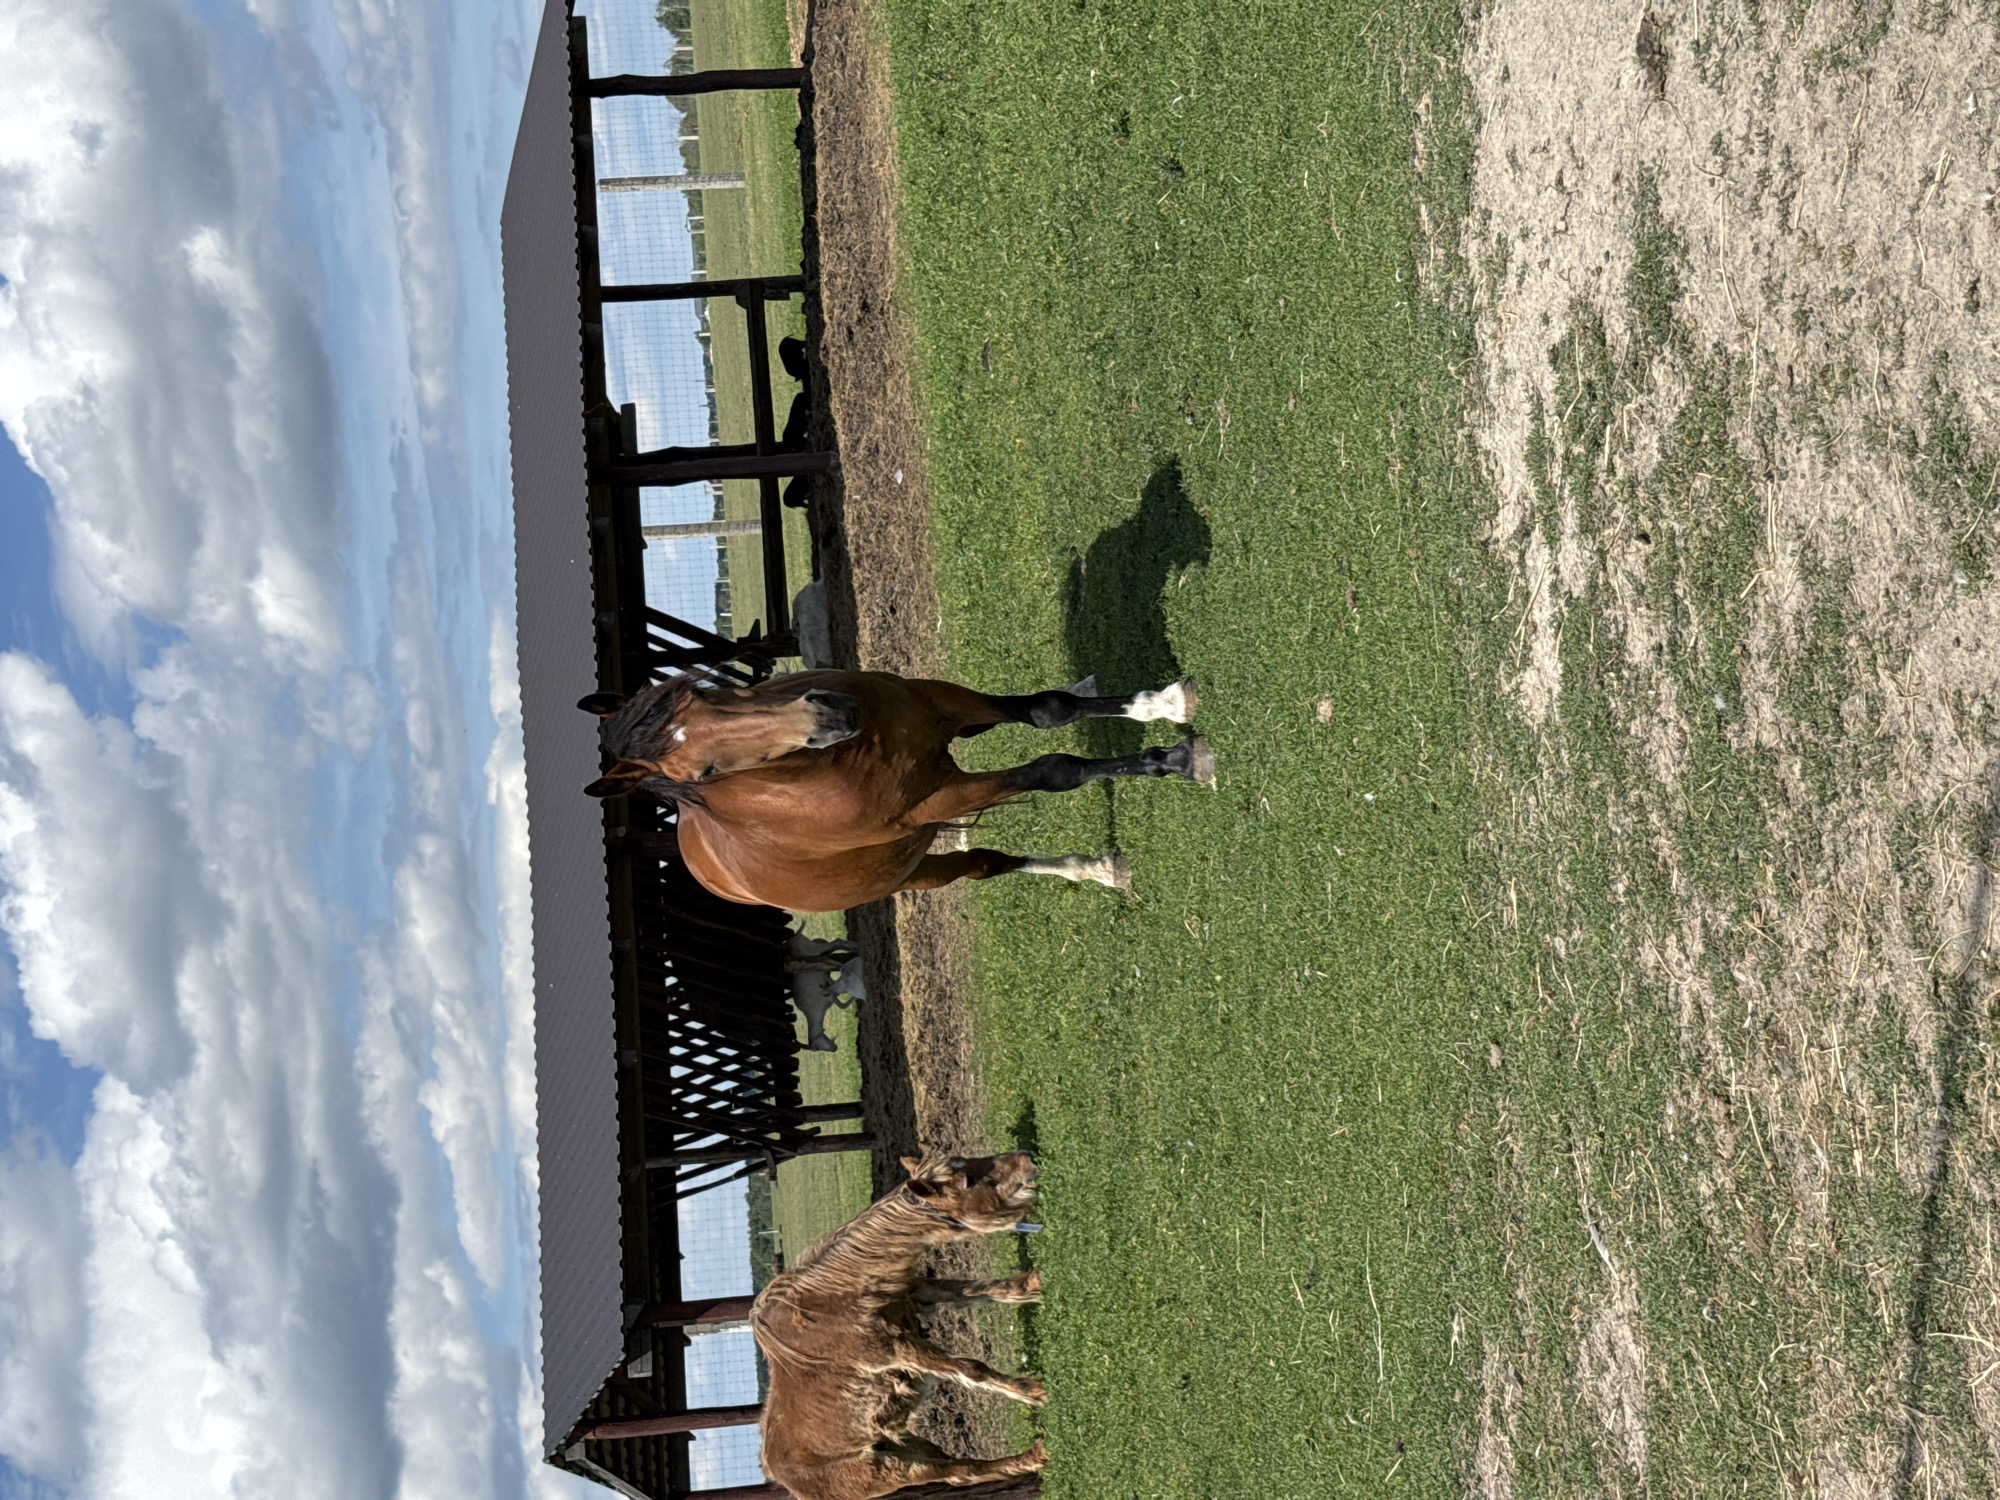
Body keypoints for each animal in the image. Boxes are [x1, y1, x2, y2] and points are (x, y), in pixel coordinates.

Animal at [579, 669, 1211, 912]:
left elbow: (1046, 711)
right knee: (986, 864)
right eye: (704, 771)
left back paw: (1094, 868)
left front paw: (1164, 704)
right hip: (918, 869)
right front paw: (1179, 759)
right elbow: (1056, 770)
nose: (831, 713)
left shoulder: (940, 702)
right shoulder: (939, 798)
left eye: (702, 691)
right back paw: (1095, 868)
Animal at [749, 1152, 1048, 1500]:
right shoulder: (893, 1349)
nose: (1025, 1159)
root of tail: (785, 1480)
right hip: (888, 1470)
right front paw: (1035, 1392)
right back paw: (1034, 1455)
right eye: (967, 1181)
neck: (834, 1299)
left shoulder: (916, 1293)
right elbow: (973, 1369)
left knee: (963, 1468)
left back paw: (1032, 1459)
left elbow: (985, 1290)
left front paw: (1035, 1283)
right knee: (957, 1472)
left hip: (906, 1444)